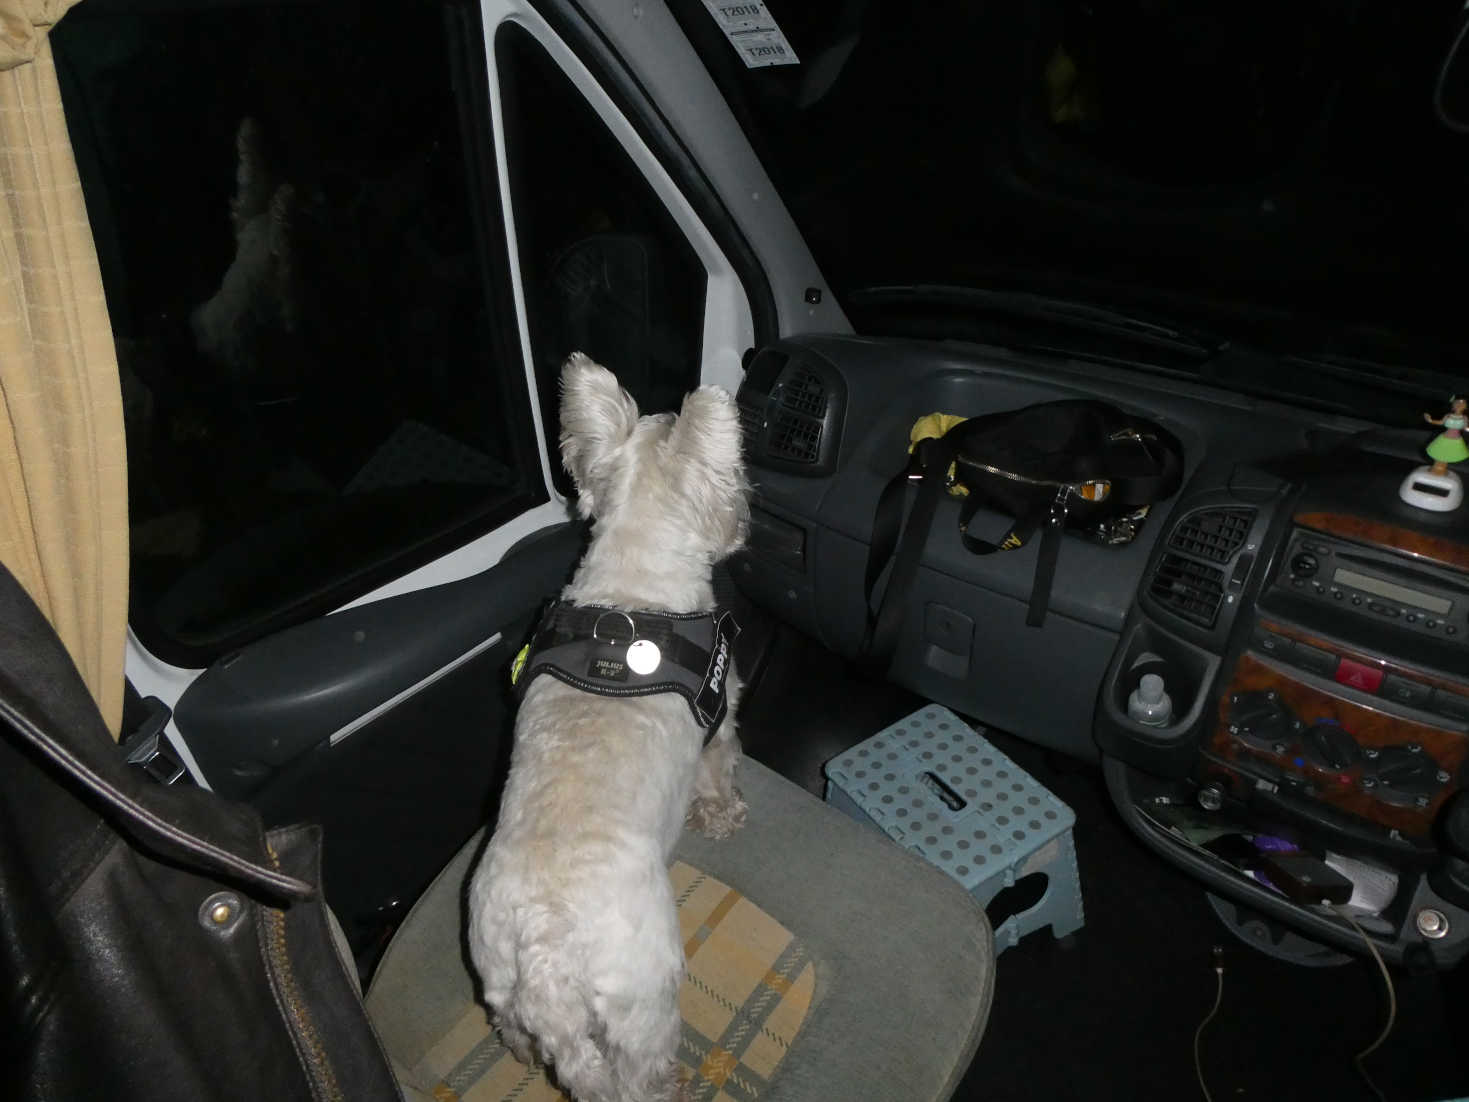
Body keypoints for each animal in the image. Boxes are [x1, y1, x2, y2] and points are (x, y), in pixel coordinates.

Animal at [467, 355, 752, 1102]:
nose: (744, 519)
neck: (633, 586)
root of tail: (544, 953)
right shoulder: (719, 719)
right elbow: (719, 774)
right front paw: (725, 817)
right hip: (642, 999)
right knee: (639, 1067)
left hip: (498, 980)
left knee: (517, 1029)